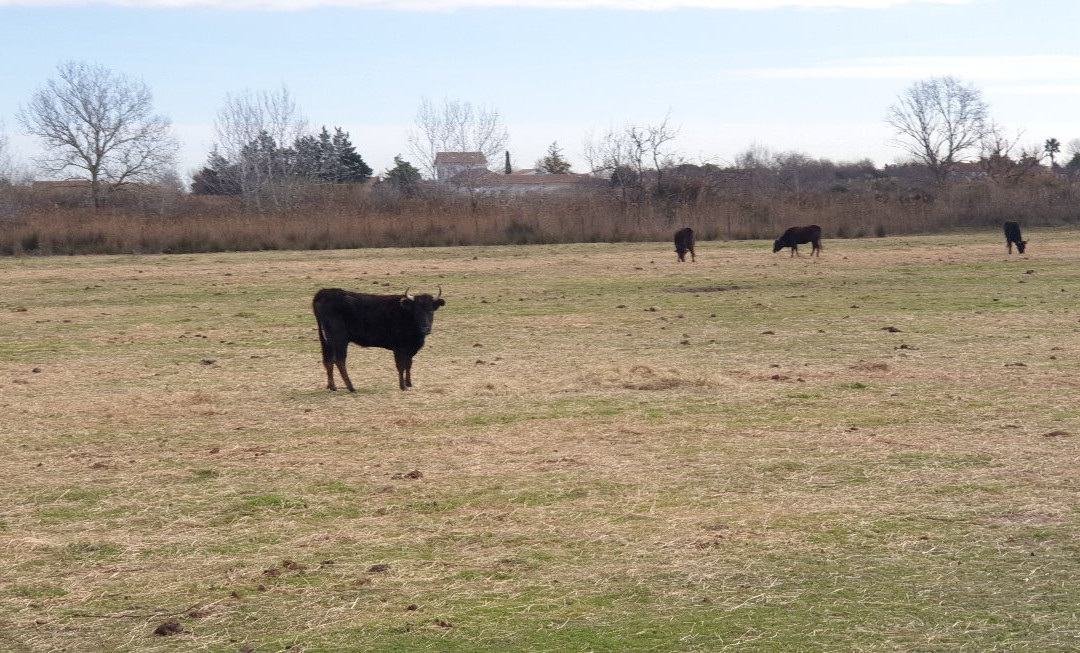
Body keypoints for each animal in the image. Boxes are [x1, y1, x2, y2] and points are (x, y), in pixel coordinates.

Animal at [315, 287, 444, 392]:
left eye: (430, 311)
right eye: (416, 311)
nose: (425, 327)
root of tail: (325, 292)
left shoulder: (409, 349)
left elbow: (408, 364)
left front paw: (409, 383)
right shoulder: (400, 348)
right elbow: (401, 366)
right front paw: (403, 386)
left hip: (327, 341)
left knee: (328, 360)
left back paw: (332, 386)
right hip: (339, 339)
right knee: (339, 361)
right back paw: (351, 387)